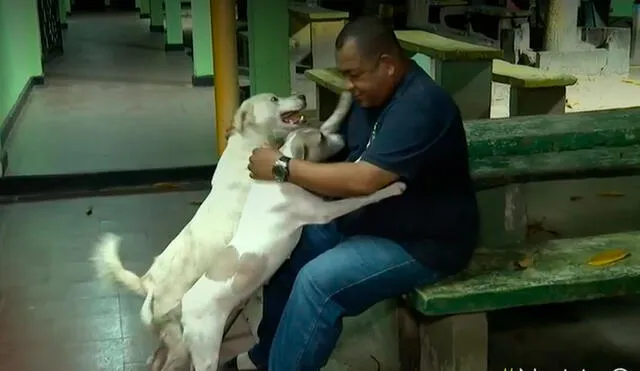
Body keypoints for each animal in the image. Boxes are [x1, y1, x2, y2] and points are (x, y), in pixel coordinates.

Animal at [91, 91, 350, 370]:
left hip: (170, 340)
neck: (251, 144)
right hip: (181, 343)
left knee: (156, 359)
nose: (302, 95)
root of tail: (147, 282)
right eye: (273, 98)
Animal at [180, 111, 408, 371]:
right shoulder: (324, 211)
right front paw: (393, 187)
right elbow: (361, 196)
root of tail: (184, 308)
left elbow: (355, 170)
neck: (279, 178)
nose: (342, 136)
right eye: (321, 138)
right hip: (207, 350)